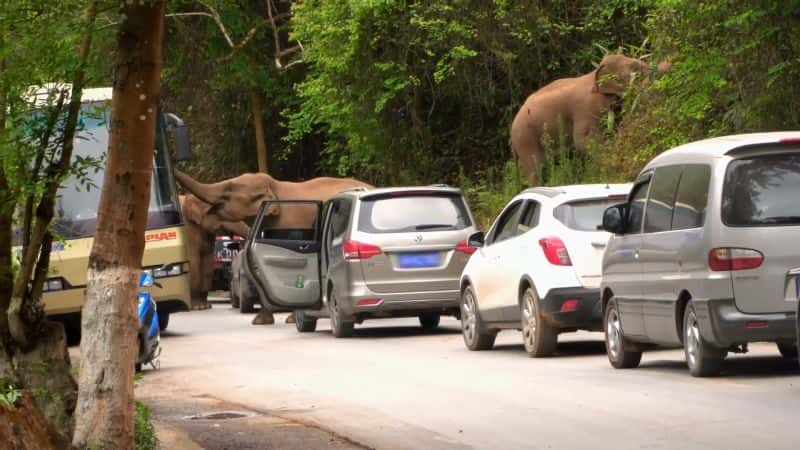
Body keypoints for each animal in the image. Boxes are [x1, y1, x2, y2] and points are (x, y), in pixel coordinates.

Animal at [512, 53, 668, 184]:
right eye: (635, 68)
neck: (595, 73)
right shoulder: (586, 108)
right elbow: (584, 139)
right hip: (525, 139)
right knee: (535, 169)